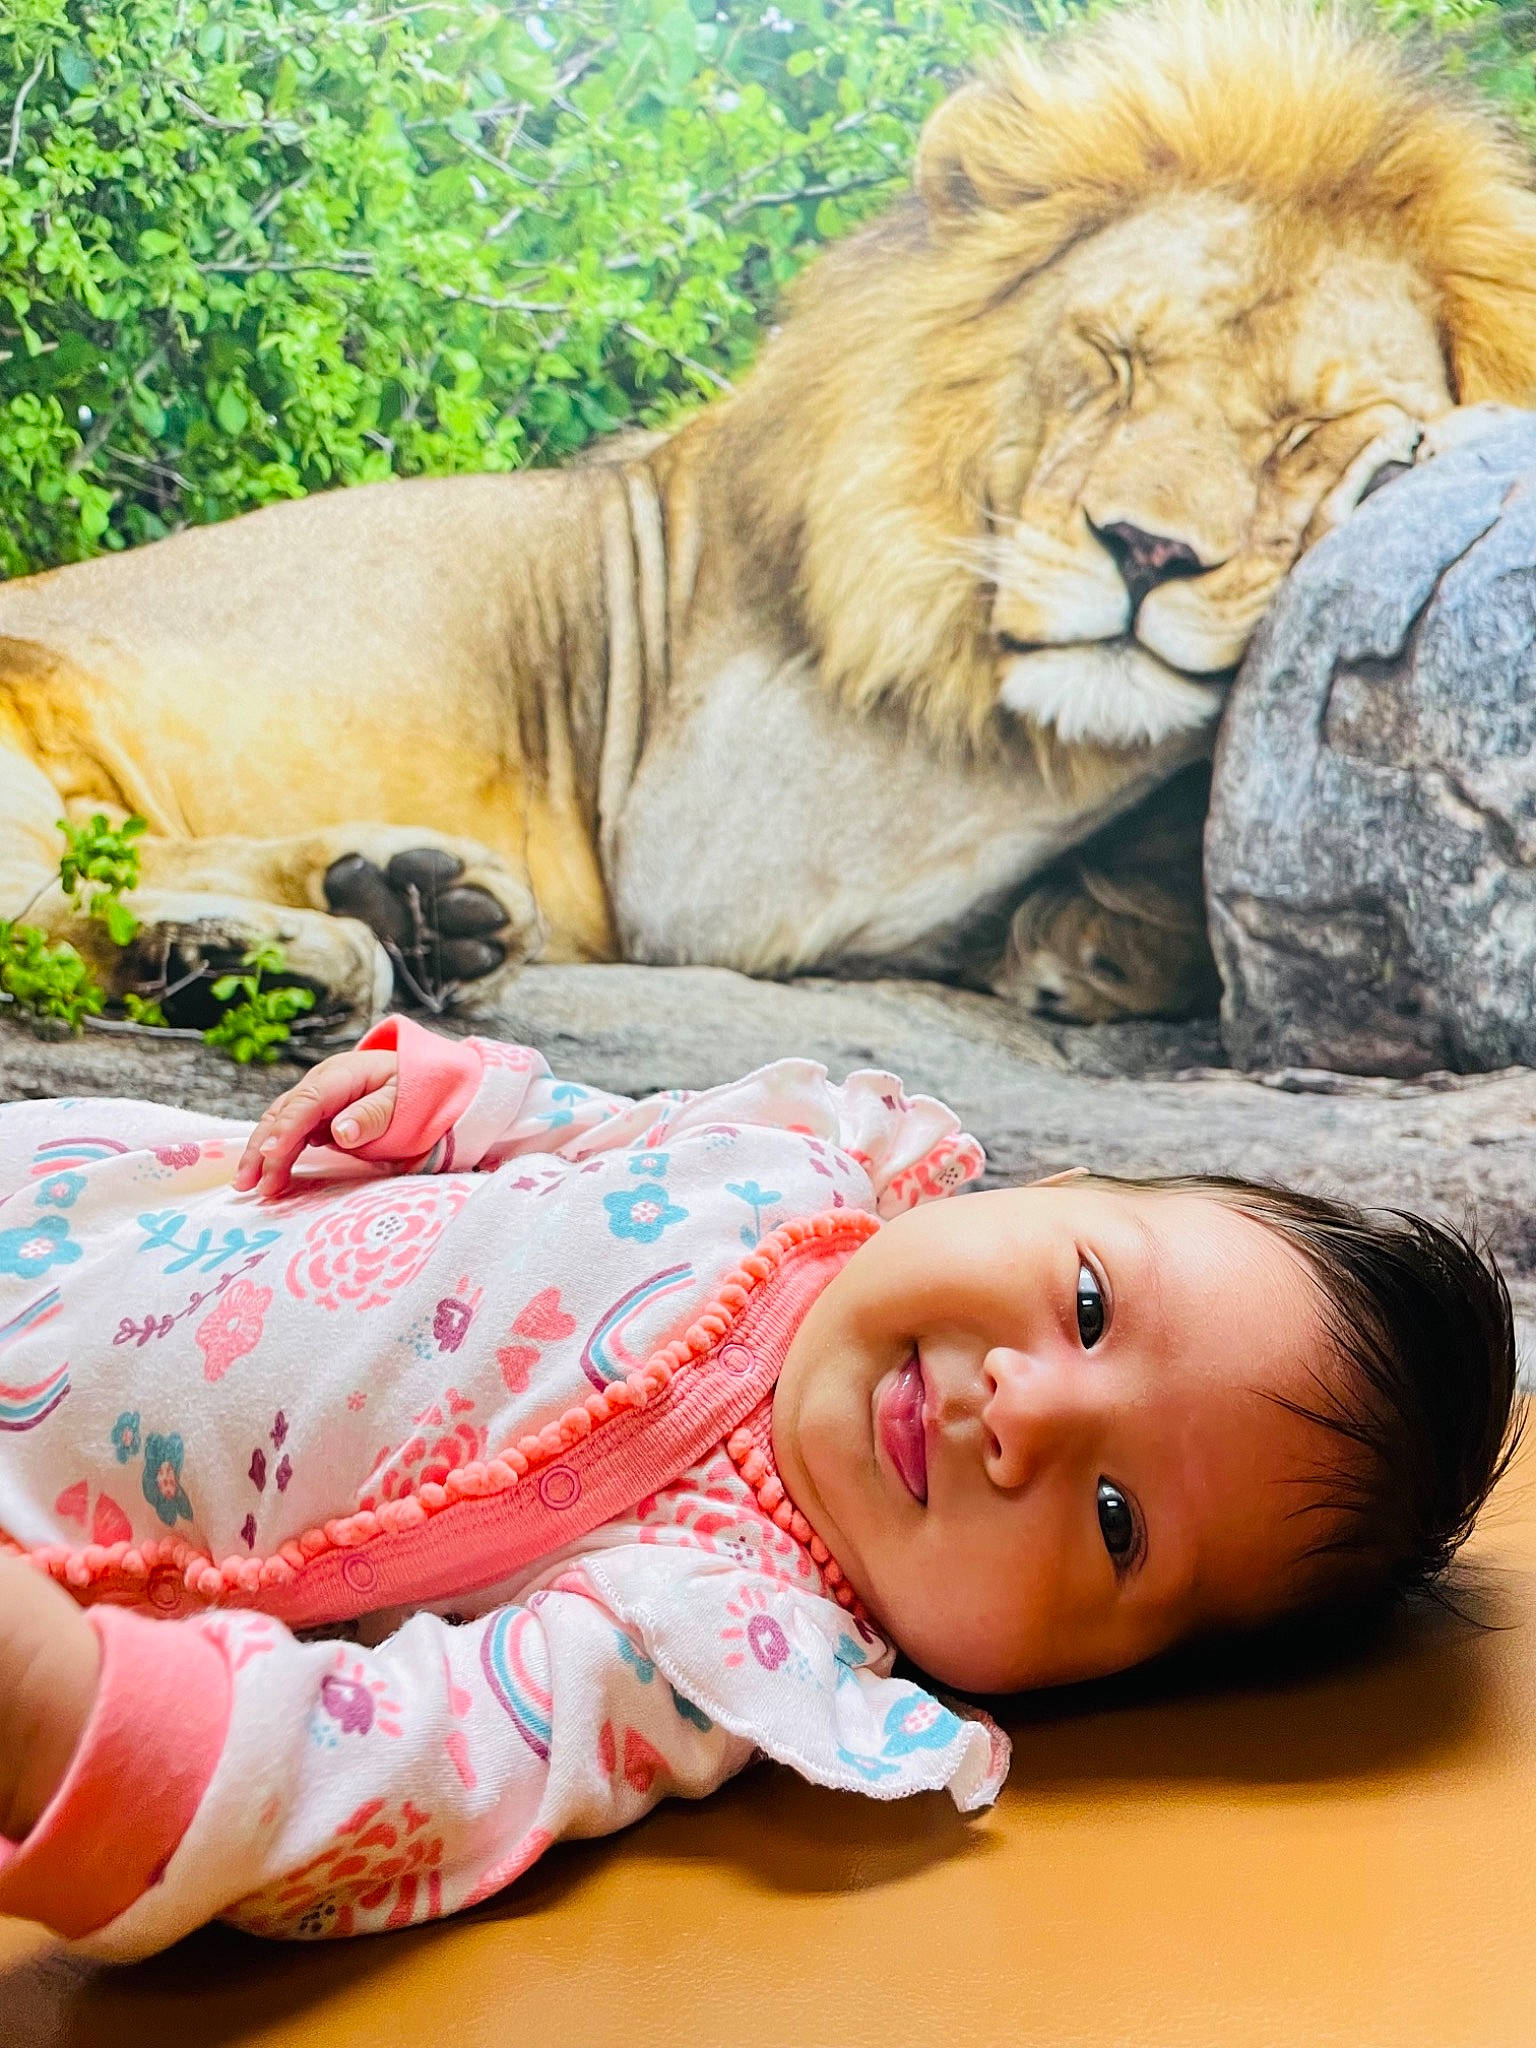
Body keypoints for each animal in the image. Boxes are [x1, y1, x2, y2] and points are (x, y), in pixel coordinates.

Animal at [3, 0, 1536, 1040]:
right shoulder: (713, 831)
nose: (1146, 554)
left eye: (1298, 428)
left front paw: (1107, 935)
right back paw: (274, 956)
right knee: (36, 907)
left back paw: (387, 901)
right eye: (1113, 357)